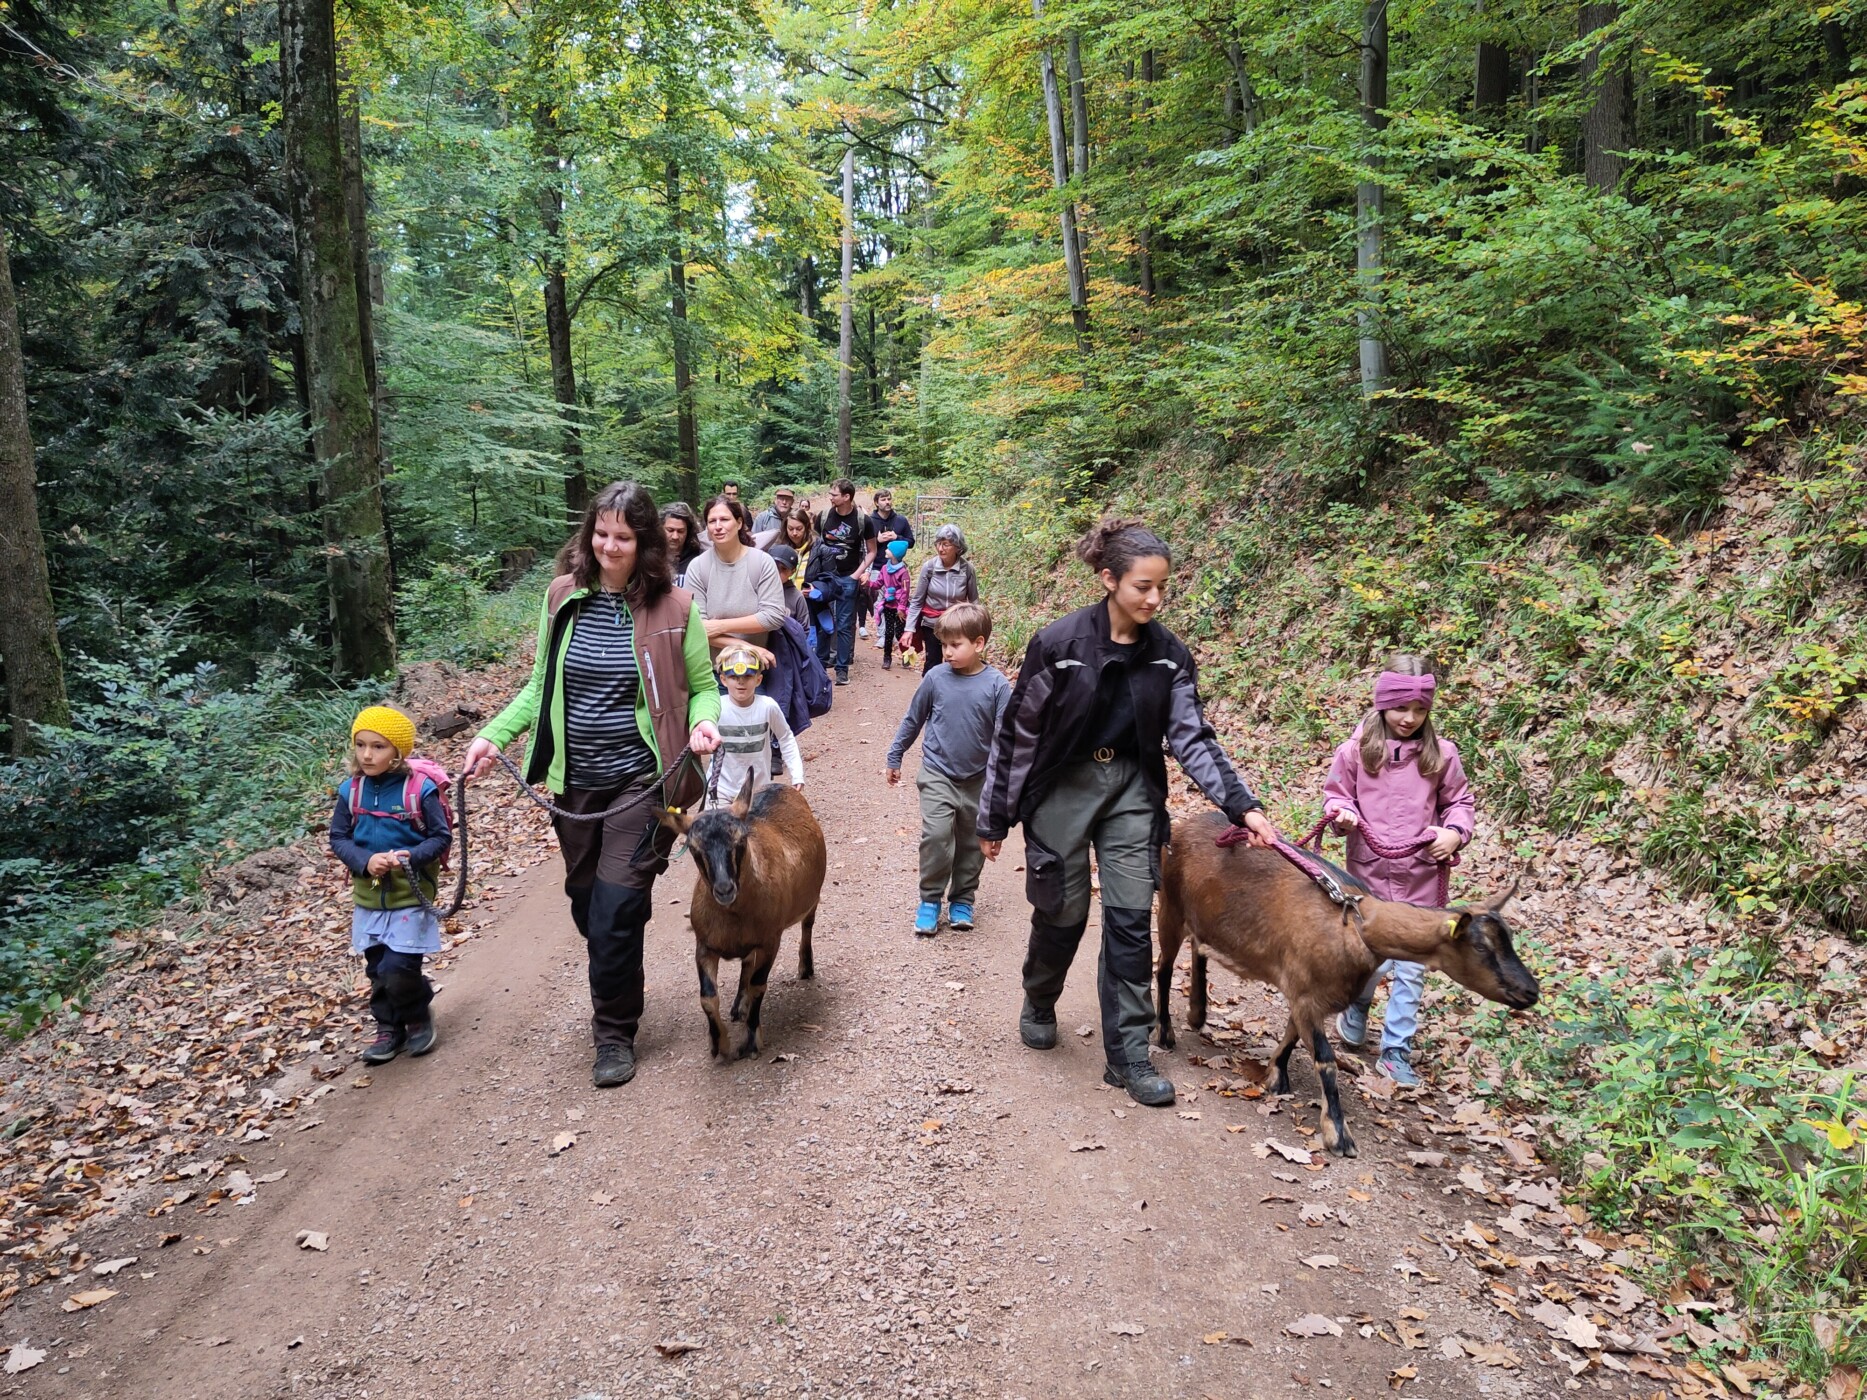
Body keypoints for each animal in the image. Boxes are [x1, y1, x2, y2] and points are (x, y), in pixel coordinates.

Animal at [659, 775, 827, 1059]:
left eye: (740, 842)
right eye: (694, 849)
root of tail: (779, 786)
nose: (724, 889)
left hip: (812, 898)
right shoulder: (704, 946)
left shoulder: (770, 941)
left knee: (807, 926)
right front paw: (719, 1044)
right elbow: (708, 997)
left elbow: (759, 986)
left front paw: (750, 1041)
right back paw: (739, 1005)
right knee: (746, 964)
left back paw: (805, 967)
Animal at [1155, 811, 1539, 1157]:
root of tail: (1184, 826)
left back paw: (1197, 1013)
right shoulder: (1306, 994)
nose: (1531, 992)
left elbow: (1293, 1037)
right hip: (1170, 907)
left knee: (1199, 948)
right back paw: (1165, 1033)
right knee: (1163, 968)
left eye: (1509, 938)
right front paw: (1337, 1134)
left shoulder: (1304, 993)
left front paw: (1276, 1076)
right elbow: (1325, 1059)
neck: (1356, 925)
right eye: (1481, 947)